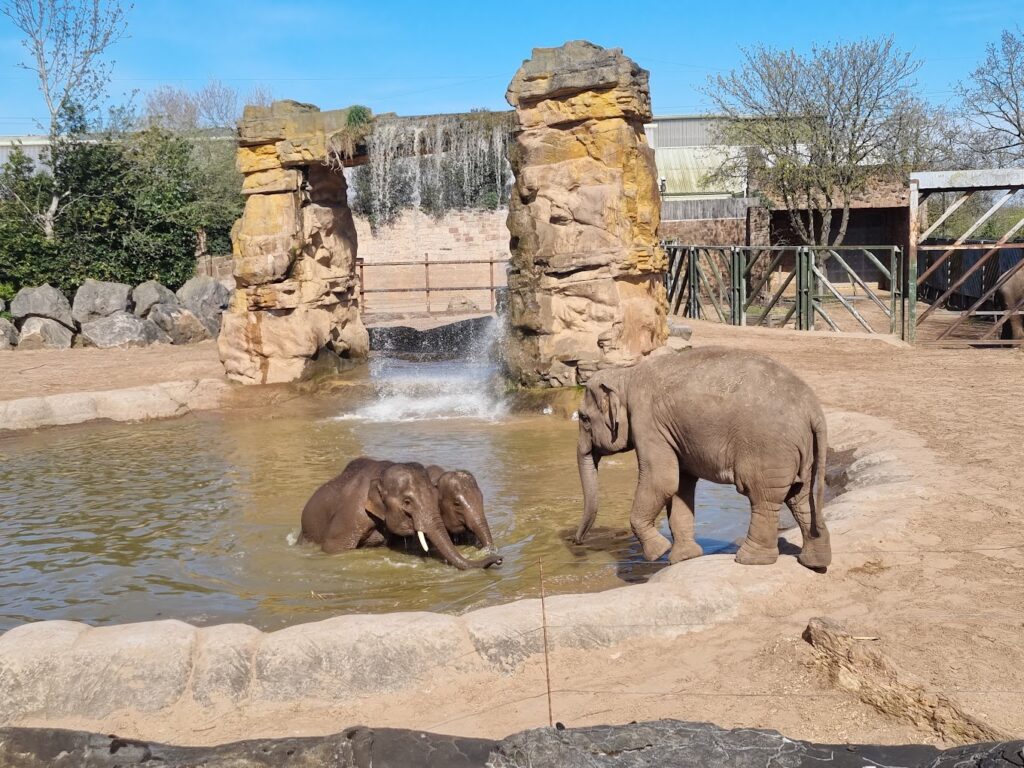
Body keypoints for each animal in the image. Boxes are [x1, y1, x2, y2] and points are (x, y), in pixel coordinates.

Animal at [300, 457, 502, 569]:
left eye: (435, 496)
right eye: (407, 502)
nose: (499, 559)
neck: (381, 475)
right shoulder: (351, 517)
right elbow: (334, 548)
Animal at [575, 346, 831, 571]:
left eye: (584, 418)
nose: (577, 542)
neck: (626, 376)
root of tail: (814, 412)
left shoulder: (647, 422)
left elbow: (662, 481)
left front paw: (658, 552)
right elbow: (681, 485)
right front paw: (684, 558)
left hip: (768, 449)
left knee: (763, 497)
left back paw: (749, 560)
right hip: (804, 451)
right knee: (800, 497)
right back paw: (815, 563)